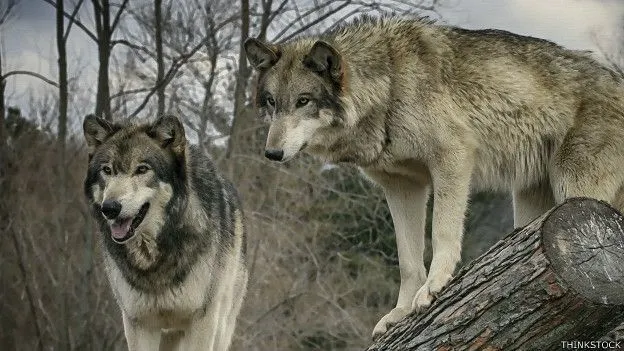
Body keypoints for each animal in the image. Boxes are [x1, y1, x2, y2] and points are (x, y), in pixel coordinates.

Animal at [83, 114, 249, 350]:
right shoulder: (139, 323)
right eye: (107, 170)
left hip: (221, 326)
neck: (152, 257)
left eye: (142, 169)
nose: (110, 208)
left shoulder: (203, 321)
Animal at [243, 15, 624, 338]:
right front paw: (400, 313)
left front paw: (434, 287)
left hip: (575, 192)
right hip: (531, 213)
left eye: (303, 101)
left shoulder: (452, 158)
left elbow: (442, 232)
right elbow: (408, 261)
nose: (271, 153)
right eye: (272, 102)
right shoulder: (402, 187)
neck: (389, 87)